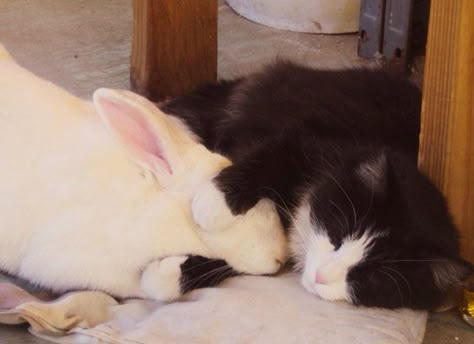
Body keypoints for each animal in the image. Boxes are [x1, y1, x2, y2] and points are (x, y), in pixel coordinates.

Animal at [161, 60, 472, 310]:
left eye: (367, 277)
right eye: (337, 234)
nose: (322, 275)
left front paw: (170, 274)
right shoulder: (303, 144)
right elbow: (266, 161)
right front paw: (211, 203)